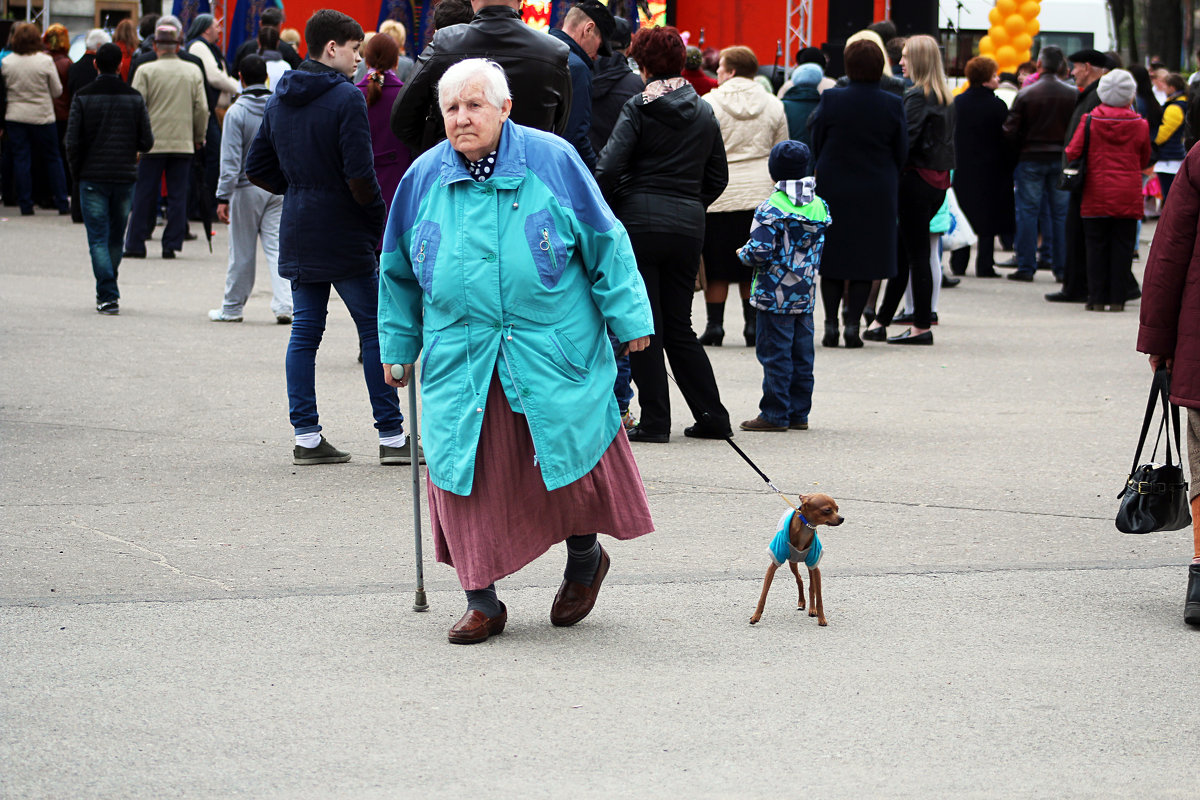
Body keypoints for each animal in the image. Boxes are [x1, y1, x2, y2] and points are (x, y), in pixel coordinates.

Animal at [748, 491, 844, 628]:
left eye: (837, 509)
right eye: (827, 510)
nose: (842, 518)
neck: (804, 530)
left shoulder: (815, 566)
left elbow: (819, 597)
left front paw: (821, 618)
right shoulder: (773, 565)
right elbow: (763, 595)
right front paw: (756, 616)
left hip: (809, 566)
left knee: (810, 587)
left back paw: (812, 609)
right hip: (792, 563)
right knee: (799, 580)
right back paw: (801, 601)